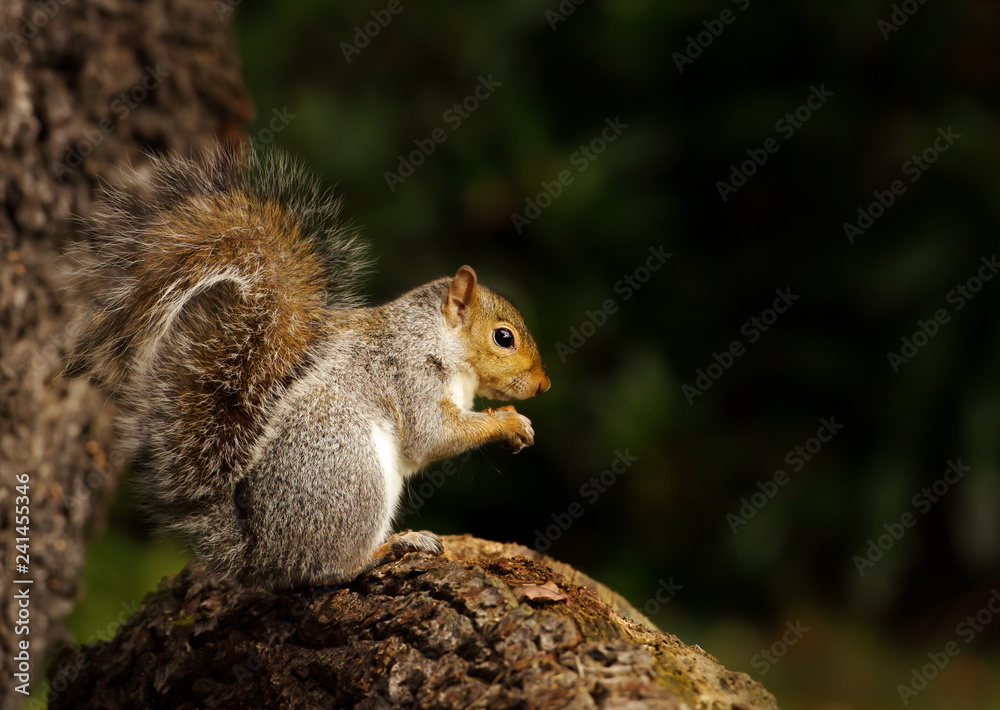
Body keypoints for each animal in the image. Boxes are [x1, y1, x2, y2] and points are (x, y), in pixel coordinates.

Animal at [66, 144, 550, 590]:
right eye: (503, 337)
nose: (544, 385)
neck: (438, 340)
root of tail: (262, 554)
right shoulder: (411, 374)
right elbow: (432, 434)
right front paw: (509, 423)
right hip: (350, 469)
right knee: (326, 568)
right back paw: (391, 546)